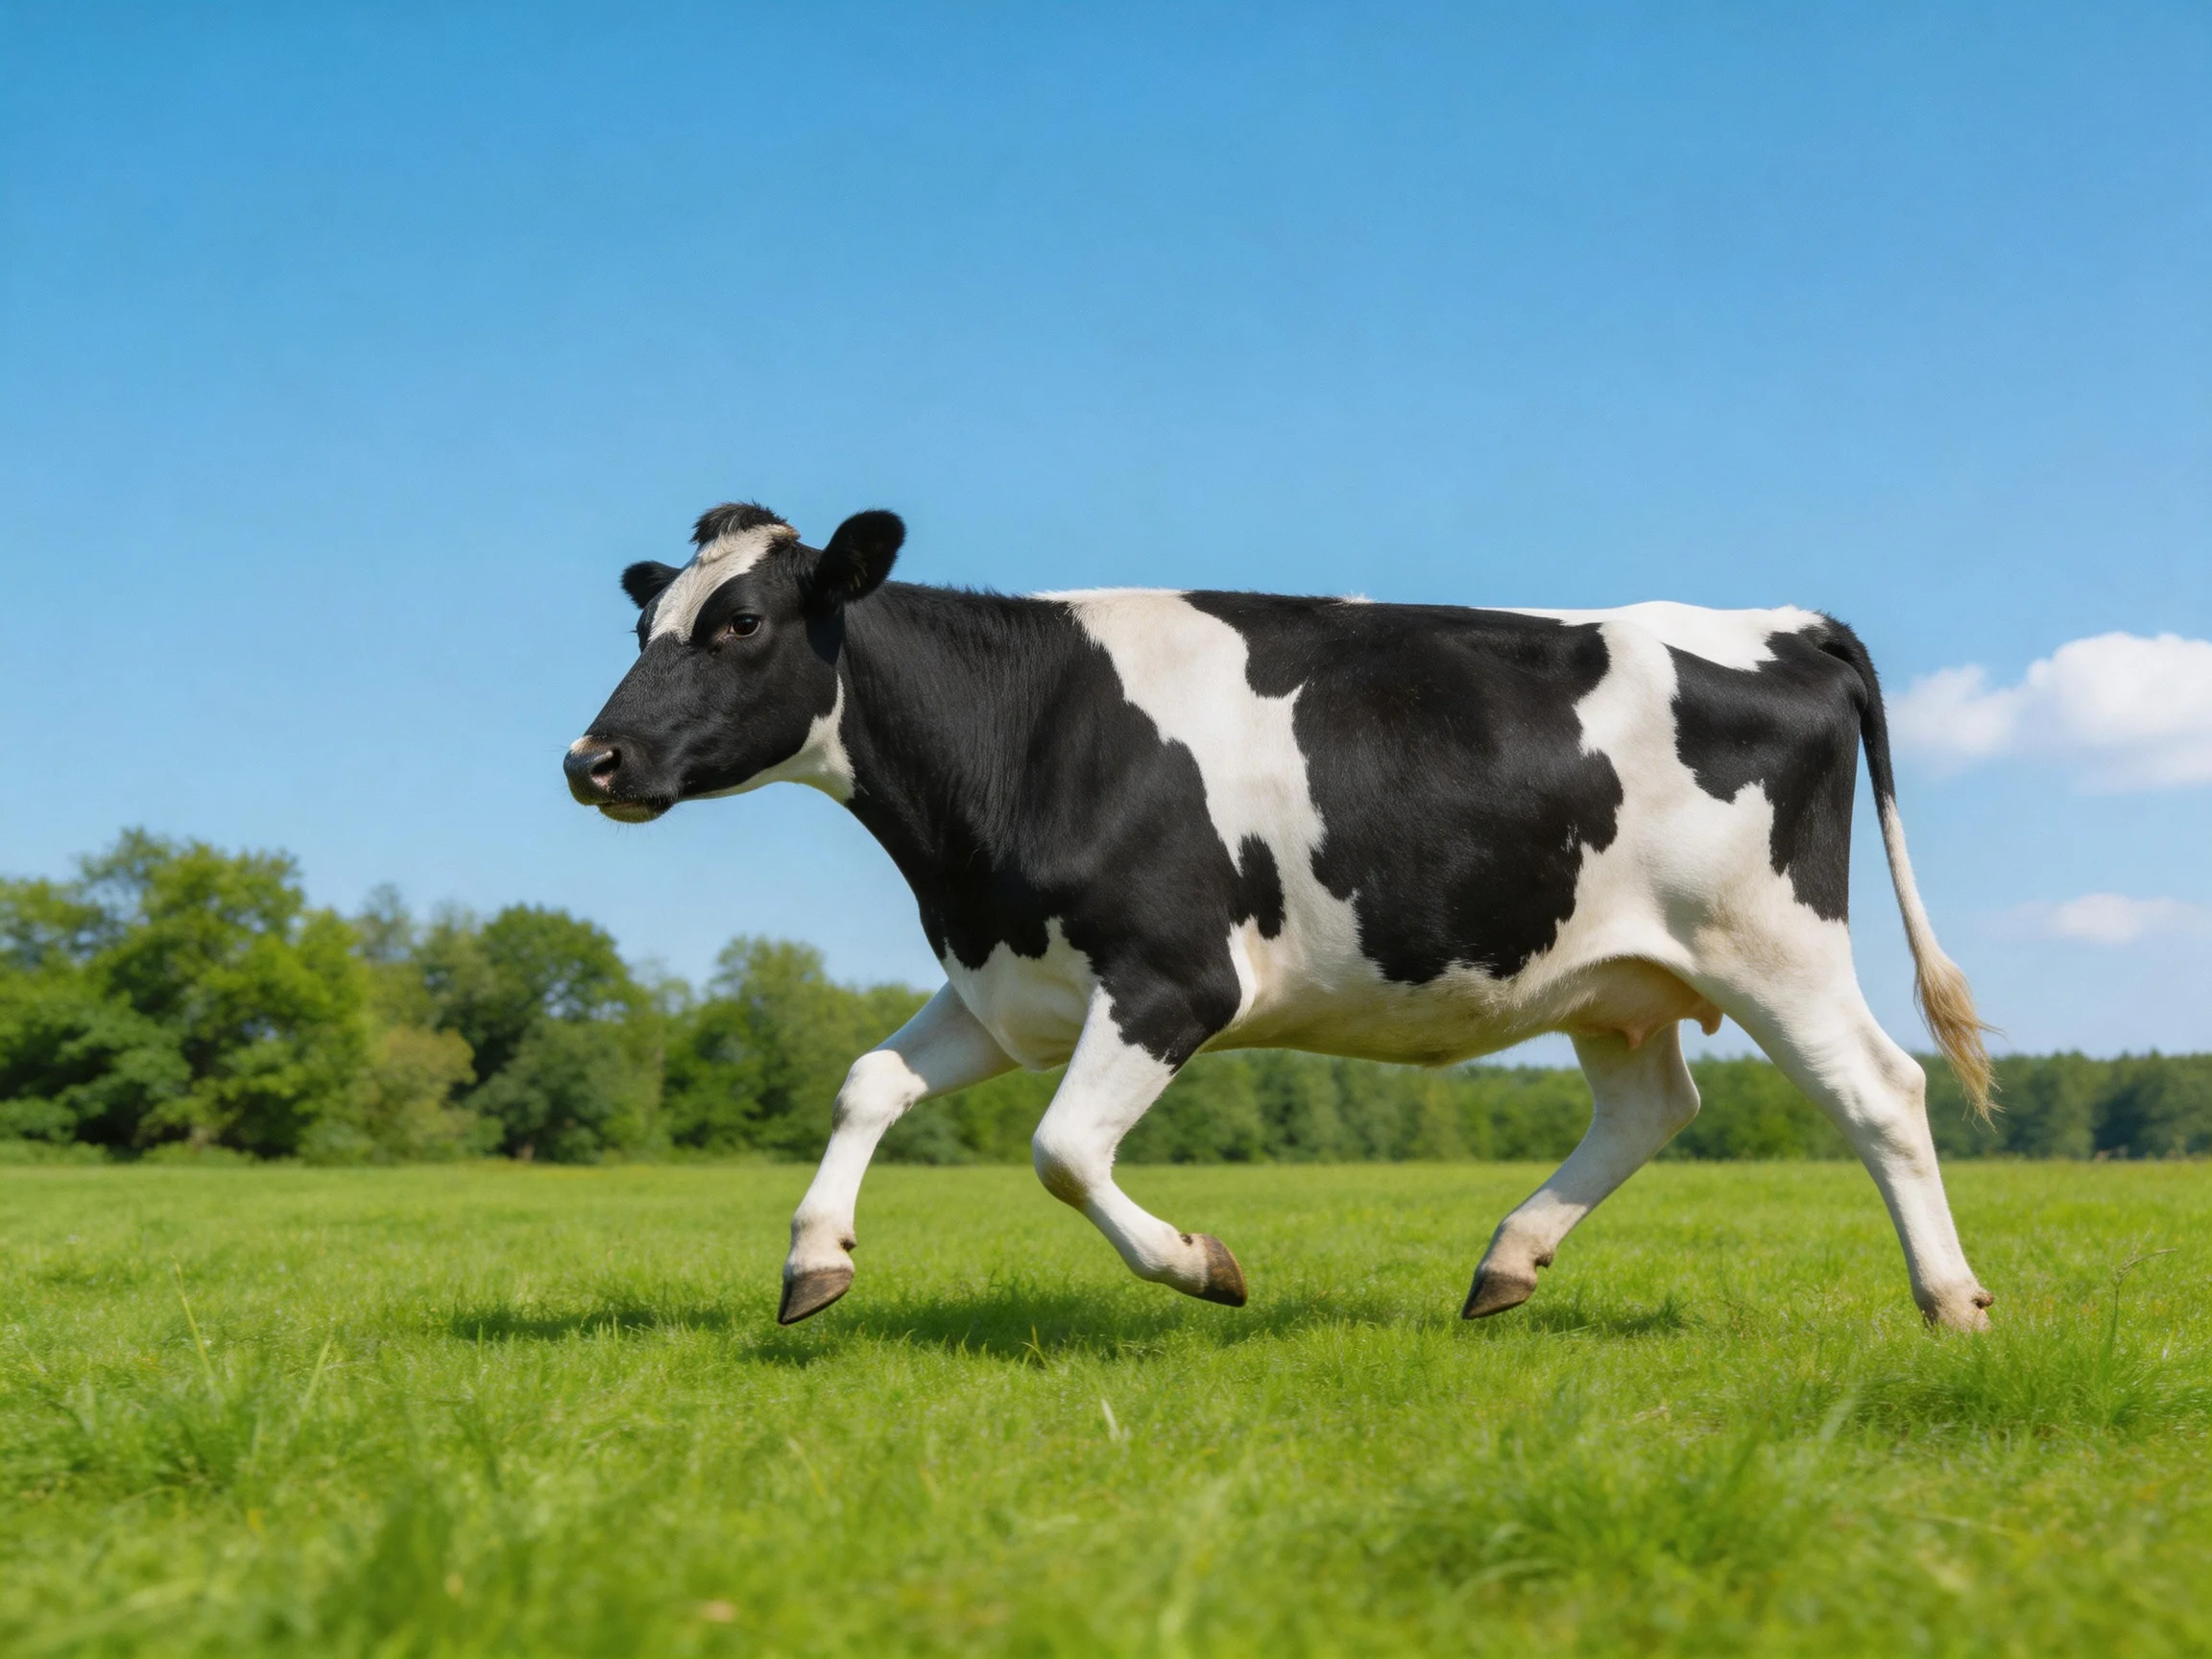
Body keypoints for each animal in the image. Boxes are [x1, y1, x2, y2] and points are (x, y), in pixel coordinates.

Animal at [566, 501, 1998, 1332]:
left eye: (740, 623)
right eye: (646, 623)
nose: (593, 760)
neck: (1028, 738)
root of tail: (1781, 623)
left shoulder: (1172, 979)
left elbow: (1062, 1152)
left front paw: (1205, 1266)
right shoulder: (1012, 983)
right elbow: (868, 1080)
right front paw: (815, 1261)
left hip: (1772, 943)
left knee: (1878, 1092)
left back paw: (1951, 1302)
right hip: (1611, 976)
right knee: (1656, 1109)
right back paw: (1508, 1265)